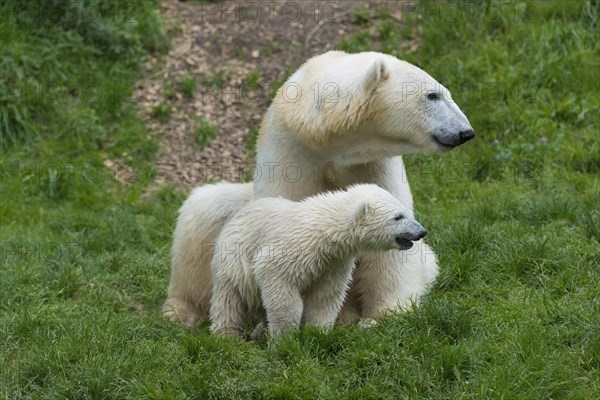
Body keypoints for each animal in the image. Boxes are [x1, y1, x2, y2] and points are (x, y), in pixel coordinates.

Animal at [164, 50, 474, 326]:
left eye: (445, 92)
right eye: (432, 95)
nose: (465, 132)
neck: (330, 139)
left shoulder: (373, 164)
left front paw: (382, 315)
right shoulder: (292, 153)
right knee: (202, 216)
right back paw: (181, 311)